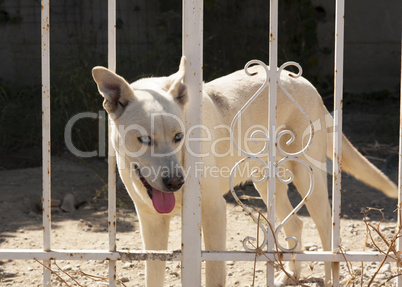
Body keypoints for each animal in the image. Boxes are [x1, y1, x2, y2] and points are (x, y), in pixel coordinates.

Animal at [92, 57, 398, 286]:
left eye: (179, 136)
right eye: (144, 139)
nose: (176, 182)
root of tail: (301, 80)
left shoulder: (213, 211)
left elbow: (214, 273)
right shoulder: (151, 222)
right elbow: (153, 272)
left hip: (308, 180)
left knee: (327, 235)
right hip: (265, 181)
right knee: (295, 225)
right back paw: (289, 276)